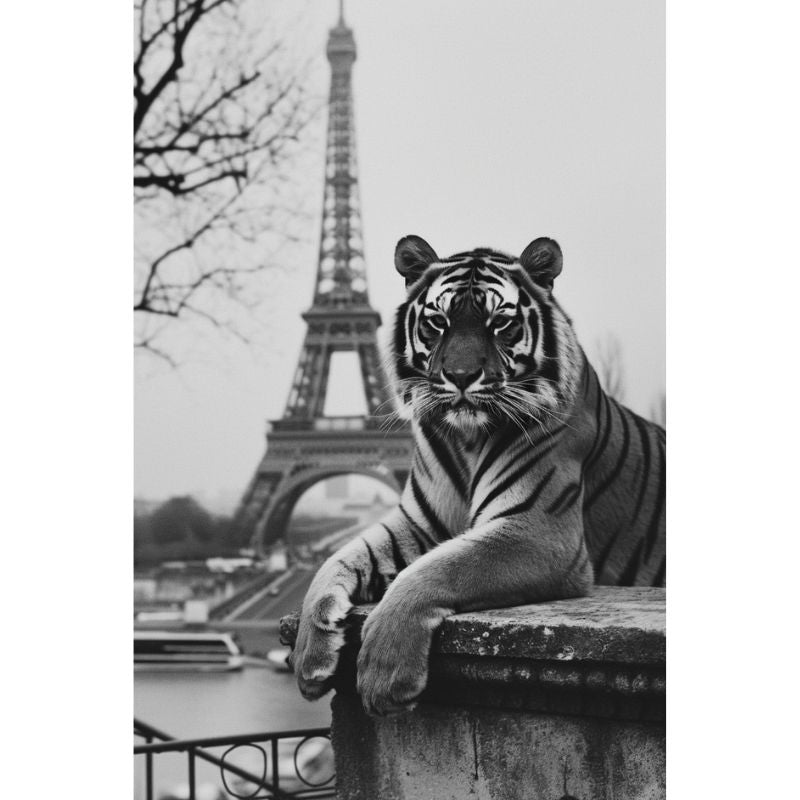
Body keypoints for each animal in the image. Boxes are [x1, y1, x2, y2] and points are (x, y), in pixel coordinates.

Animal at [290, 234, 665, 717]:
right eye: (438, 322)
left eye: (500, 322)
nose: (461, 376)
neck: (465, 439)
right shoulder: (416, 524)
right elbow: (333, 562)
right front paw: (309, 656)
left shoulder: (537, 530)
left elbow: (436, 570)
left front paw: (384, 673)